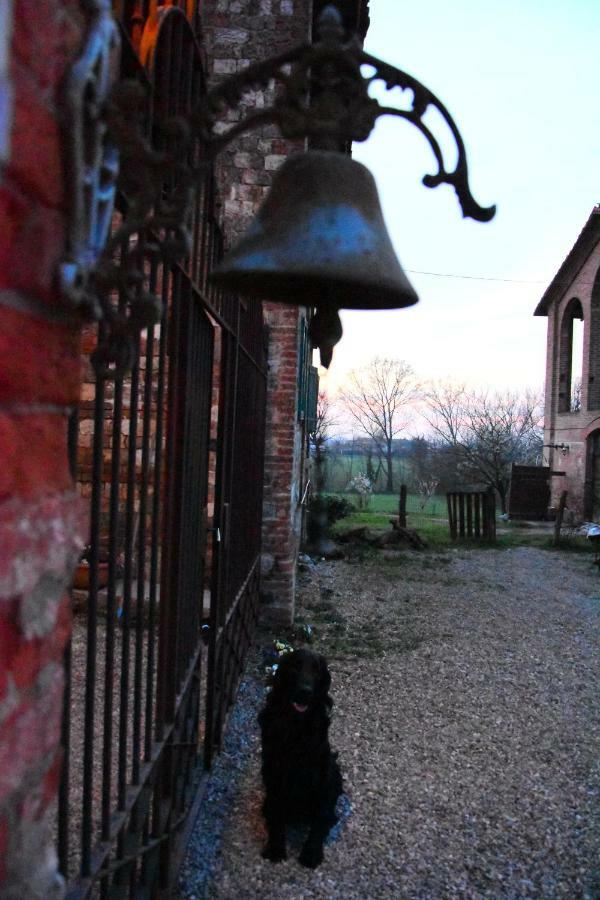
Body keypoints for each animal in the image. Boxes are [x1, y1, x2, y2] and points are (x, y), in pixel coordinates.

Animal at [258, 652, 342, 868]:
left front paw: (311, 852)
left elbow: (320, 818)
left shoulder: (321, 775)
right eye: (295, 667)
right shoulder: (273, 771)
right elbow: (276, 813)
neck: (295, 726)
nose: (305, 692)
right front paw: (275, 848)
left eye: (317, 670)